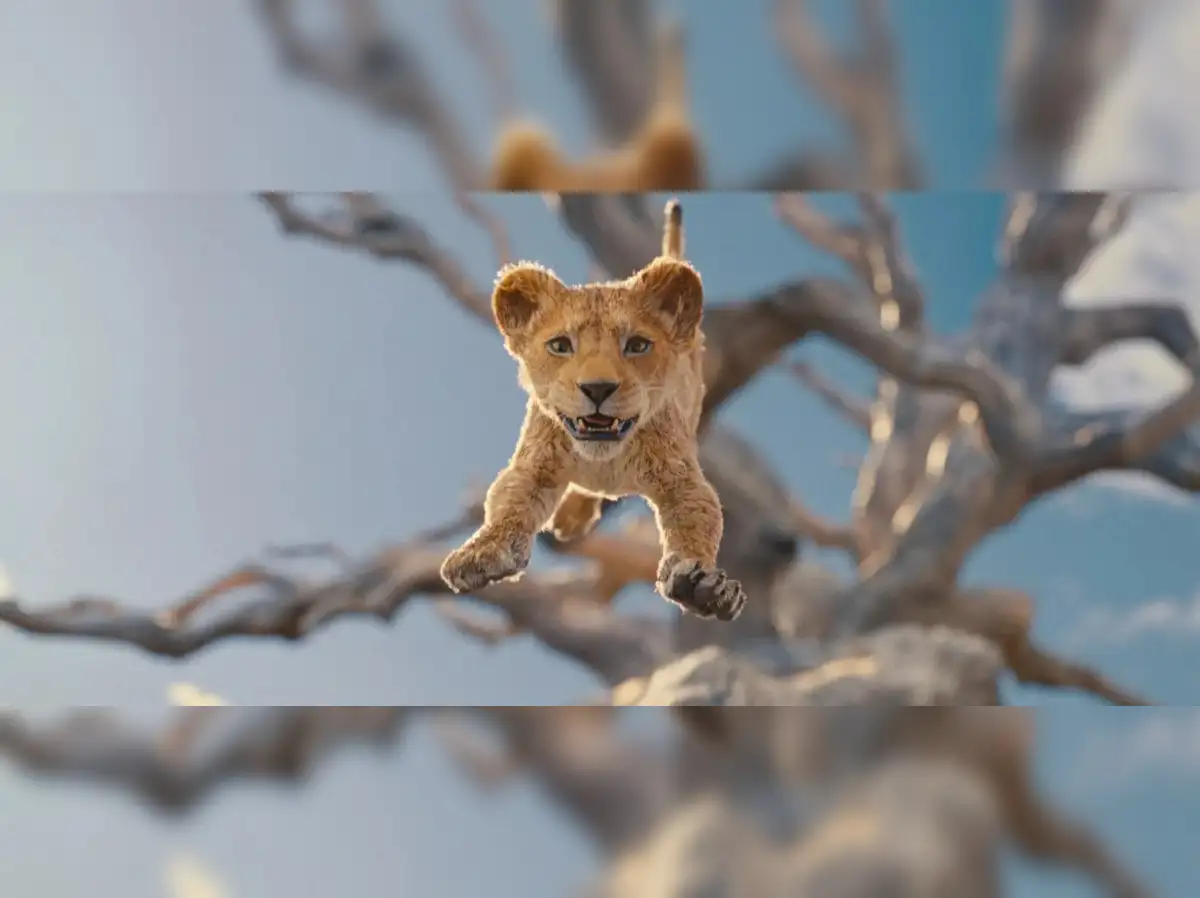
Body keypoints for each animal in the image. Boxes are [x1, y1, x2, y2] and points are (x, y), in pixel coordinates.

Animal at [439, 200, 746, 621]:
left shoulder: (682, 479)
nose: (597, 388)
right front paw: (480, 554)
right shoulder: (533, 466)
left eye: (637, 345)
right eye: (560, 345)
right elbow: (507, 506)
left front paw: (700, 585)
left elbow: (697, 523)